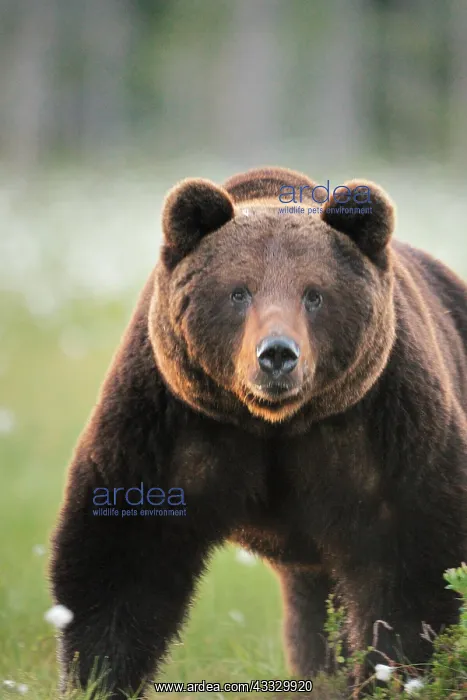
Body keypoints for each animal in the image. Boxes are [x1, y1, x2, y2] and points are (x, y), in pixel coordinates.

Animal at [50, 166, 467, 698]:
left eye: (314, 294)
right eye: (239, 291)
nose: (277, 354)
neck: (273, 424)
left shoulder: (383, 427)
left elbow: (414, 562)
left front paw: (394, 674)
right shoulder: (169, 422)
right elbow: (122, 553)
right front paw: (98, 676)